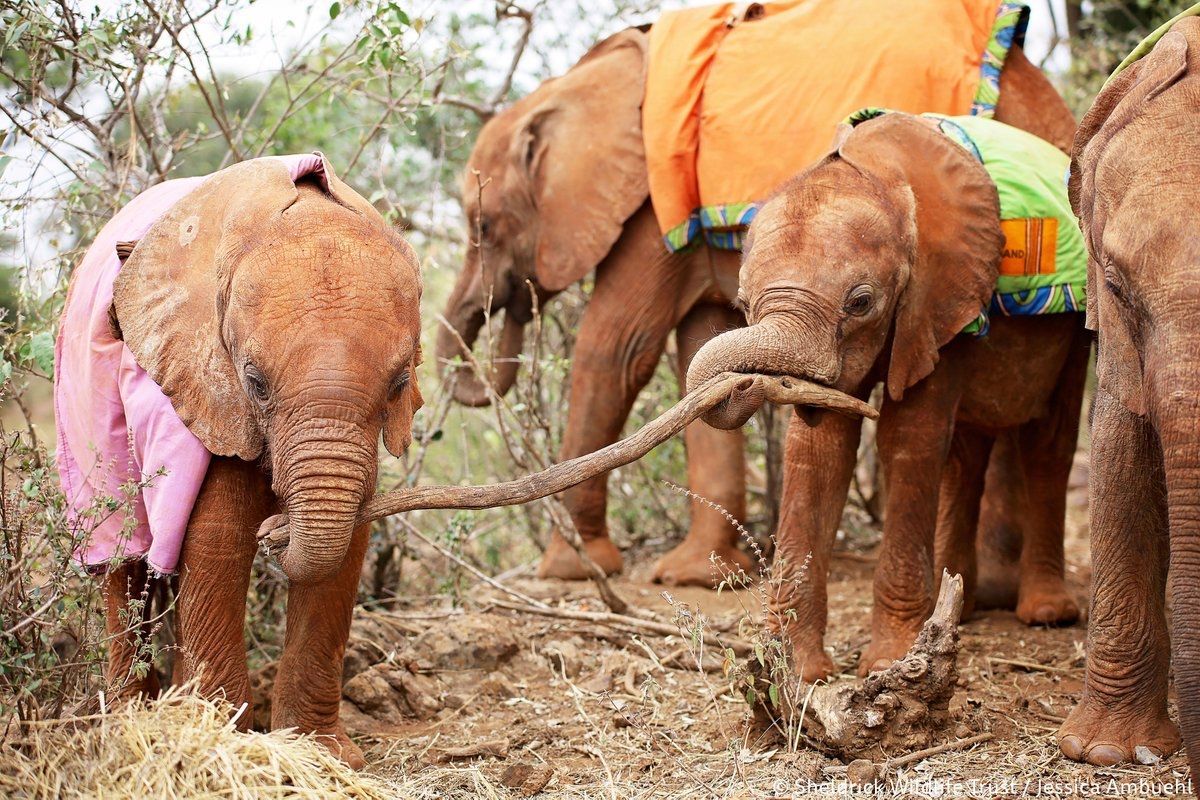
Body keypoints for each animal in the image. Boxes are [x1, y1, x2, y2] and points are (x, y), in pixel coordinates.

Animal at [56, 153, 424, 767]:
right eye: (254, 382)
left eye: (398, 384)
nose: (277, 532)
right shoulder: (209, 385)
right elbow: (217, 536)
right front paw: (224, 741)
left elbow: (348, 544)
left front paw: (320, 751)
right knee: (122, 560)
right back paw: (132, 720)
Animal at [436, 28, 1084, 592]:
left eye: (483, 226)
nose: (511, 301)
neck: (580, 81)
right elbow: (699, 337)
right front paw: (700, 577)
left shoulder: (653, 207)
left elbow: (617, 347)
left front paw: (572, 570)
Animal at [686, 113, 1089, 681]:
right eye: (742, 304)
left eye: (861, 303)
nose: (742, 383)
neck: (878, 176)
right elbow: (820, 450)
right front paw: (800, 673)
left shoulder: (940, 300)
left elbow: (908, 439)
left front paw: (891, 664)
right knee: (964, 455)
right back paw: (958, 606)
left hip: (1079, 325)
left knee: (1049, 442)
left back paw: (1047, 613)